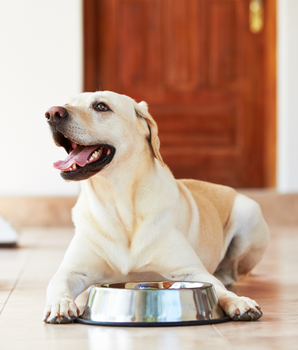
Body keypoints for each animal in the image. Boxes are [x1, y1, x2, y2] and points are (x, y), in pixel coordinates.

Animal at [43, 91, 270, 324]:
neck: (118, 204)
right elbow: (57, 285)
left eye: (101, 106)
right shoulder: (72, 271)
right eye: (68, 103)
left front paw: (238, 301)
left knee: (230, 274)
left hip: (249, 213)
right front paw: (60, 304)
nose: (52, 113)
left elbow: (218, 288)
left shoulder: (191, 271)